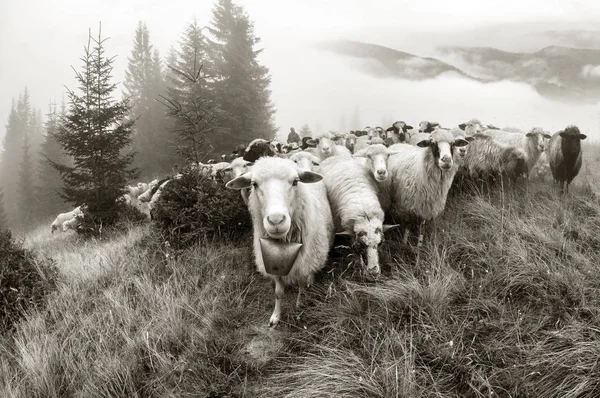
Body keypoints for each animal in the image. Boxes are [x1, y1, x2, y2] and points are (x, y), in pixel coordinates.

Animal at [226, 155, 336, 326]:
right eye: (254, 184)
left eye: (295, 181)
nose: (276, 220)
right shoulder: (272, 263)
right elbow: (278, 292)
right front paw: (276, 316)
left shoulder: (303, 262)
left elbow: (301, 285)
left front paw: (299, 304)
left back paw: (311, 278)